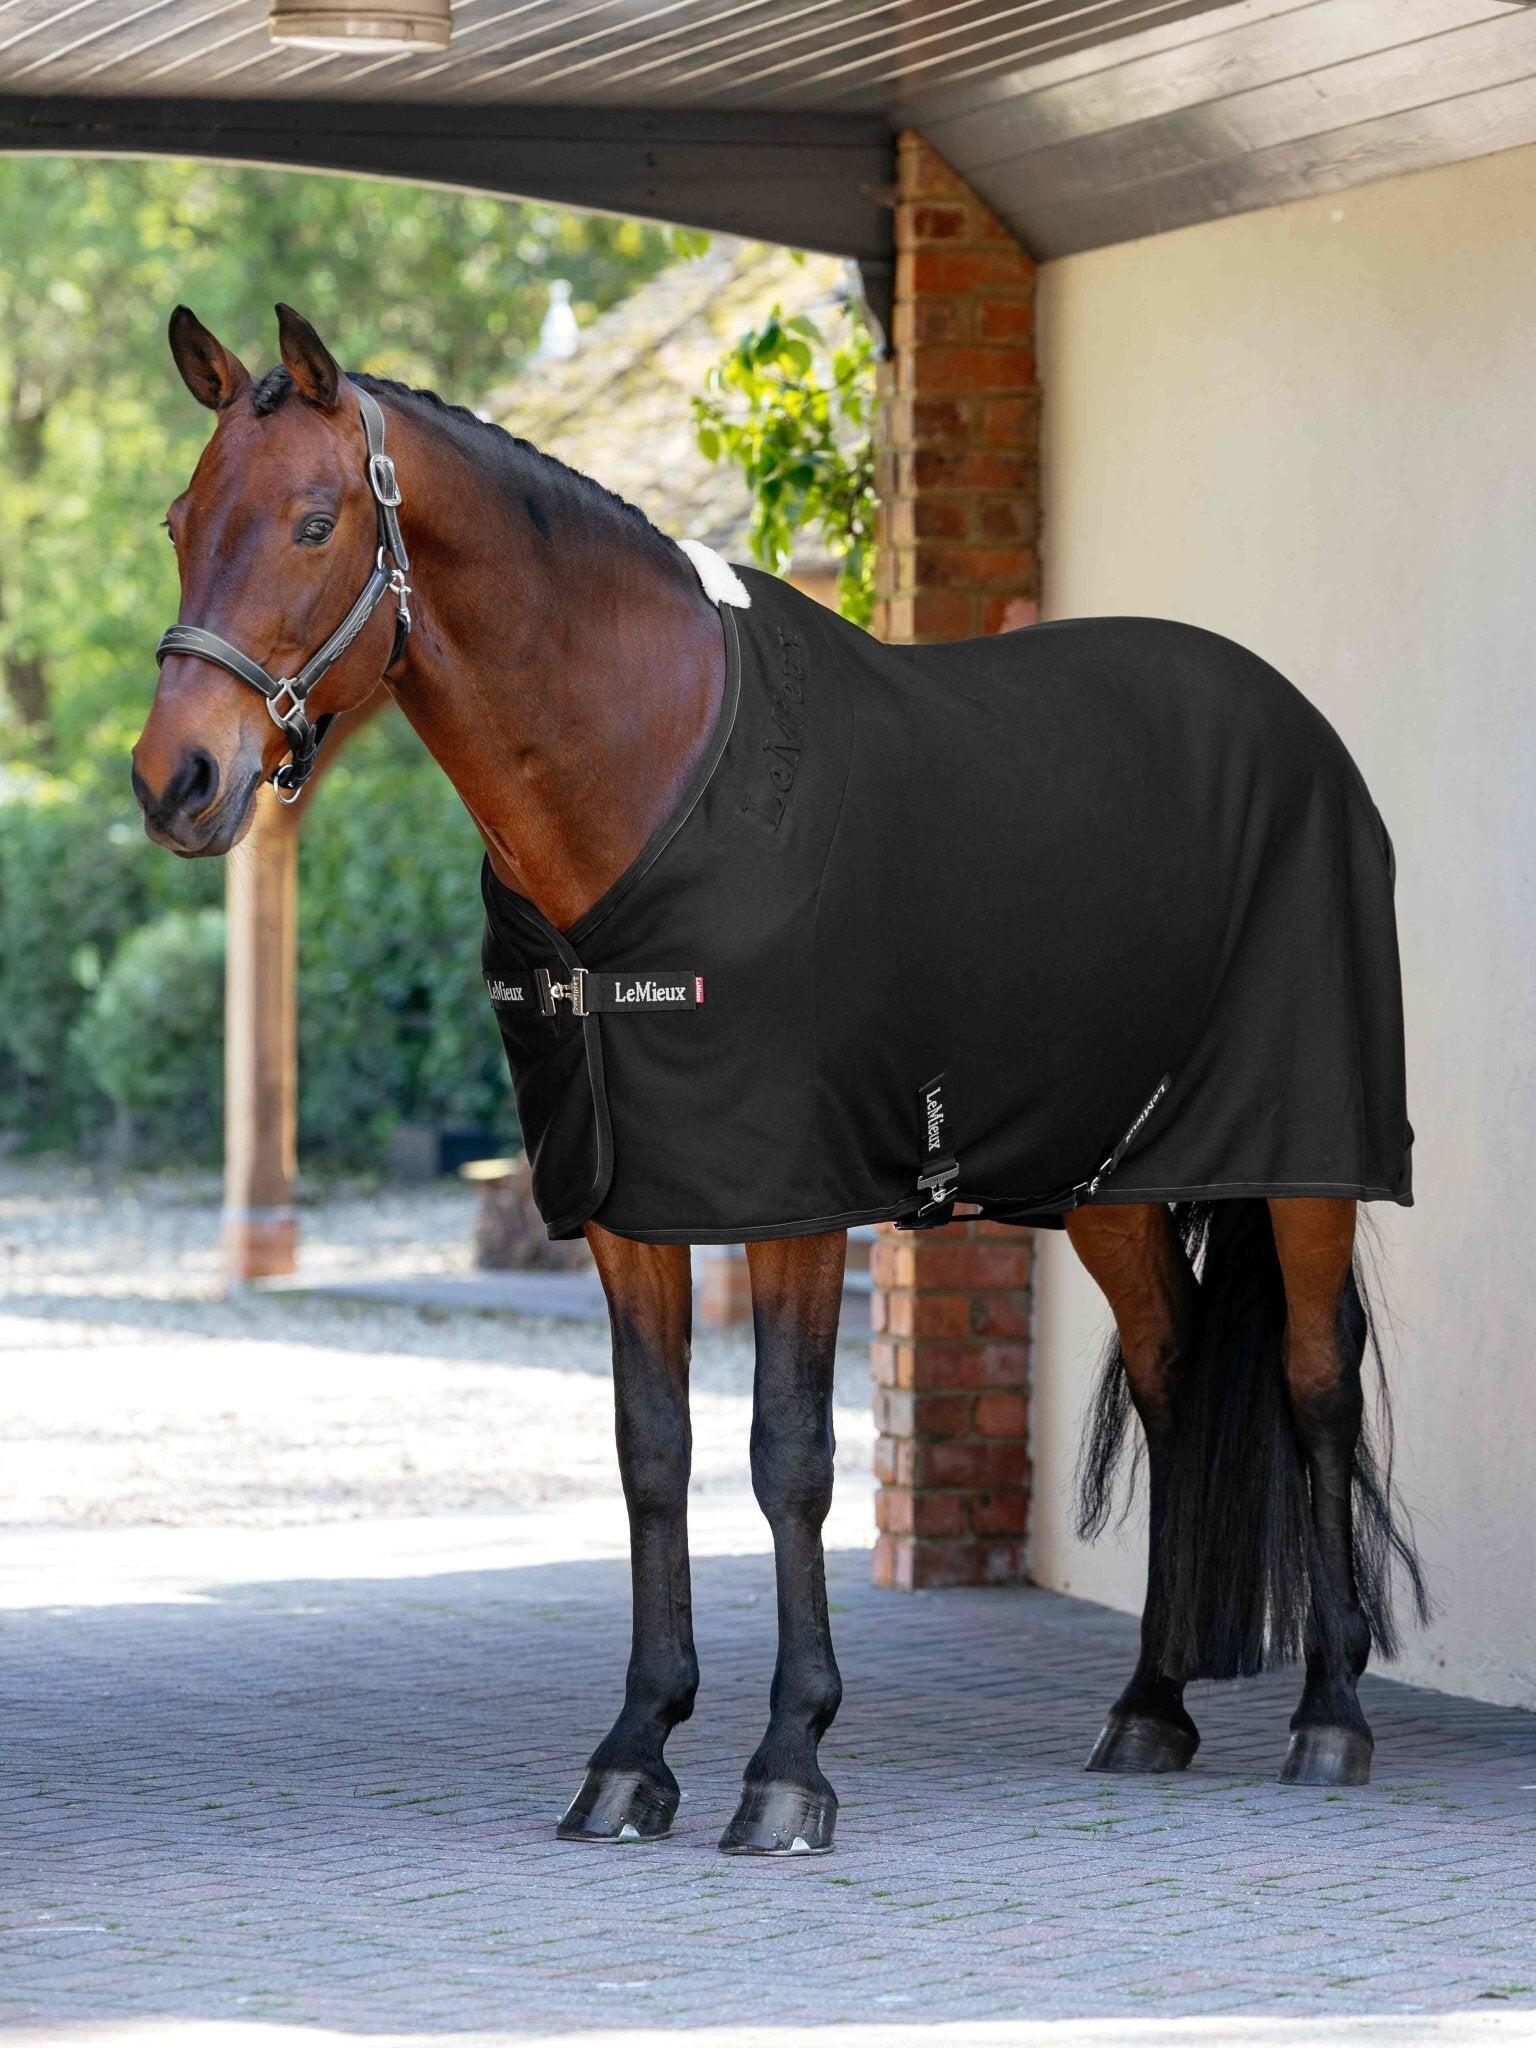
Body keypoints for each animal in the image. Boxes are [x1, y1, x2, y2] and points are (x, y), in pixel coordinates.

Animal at [131, 304, 1424, 1856]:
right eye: (179, 518)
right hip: (1114, 1180)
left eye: (317, 522)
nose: (176, 782)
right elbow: (652, 1454)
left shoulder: (795, 1201)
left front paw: (788, 1762)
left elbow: (789, 1456)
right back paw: (1149, 1705)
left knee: (1315, 1381)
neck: (646, 785)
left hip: (1306, 1164)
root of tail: (1303, 729)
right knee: (1174, 1380)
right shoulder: (625, 1205)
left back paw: (1332, 1717)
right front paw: (634, 1751)